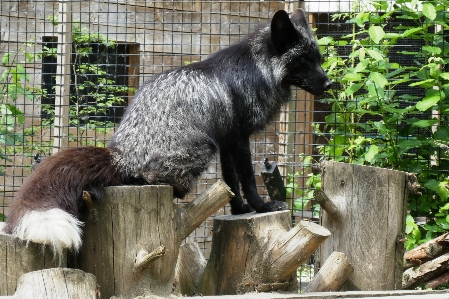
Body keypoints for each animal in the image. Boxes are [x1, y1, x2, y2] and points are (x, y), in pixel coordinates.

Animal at [2, 8, 328, 255]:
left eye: (318, 59)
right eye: (303, 60)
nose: (329, 84)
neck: (255, 70)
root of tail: (121, 155)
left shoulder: (225, 140)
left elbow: (230, 181)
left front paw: (239, 210)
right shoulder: (237, 137)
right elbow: (246, 178)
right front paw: (261, 207)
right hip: (200, 149)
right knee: (146, 180)